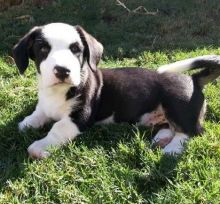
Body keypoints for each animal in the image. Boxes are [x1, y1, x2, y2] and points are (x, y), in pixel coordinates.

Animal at [13, 22, 220, 159]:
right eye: (43, 48)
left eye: (76, 49)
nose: (63, 70)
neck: (57, 92)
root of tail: (194, 79)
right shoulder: (44, 106)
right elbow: (36, 115)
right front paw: (26, 123)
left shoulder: (79, 117)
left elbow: (57, 129)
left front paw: (40, 146)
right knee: (170, 127)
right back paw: (162, 138)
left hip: (177, 105)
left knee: (190, 132)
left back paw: (172, 149)